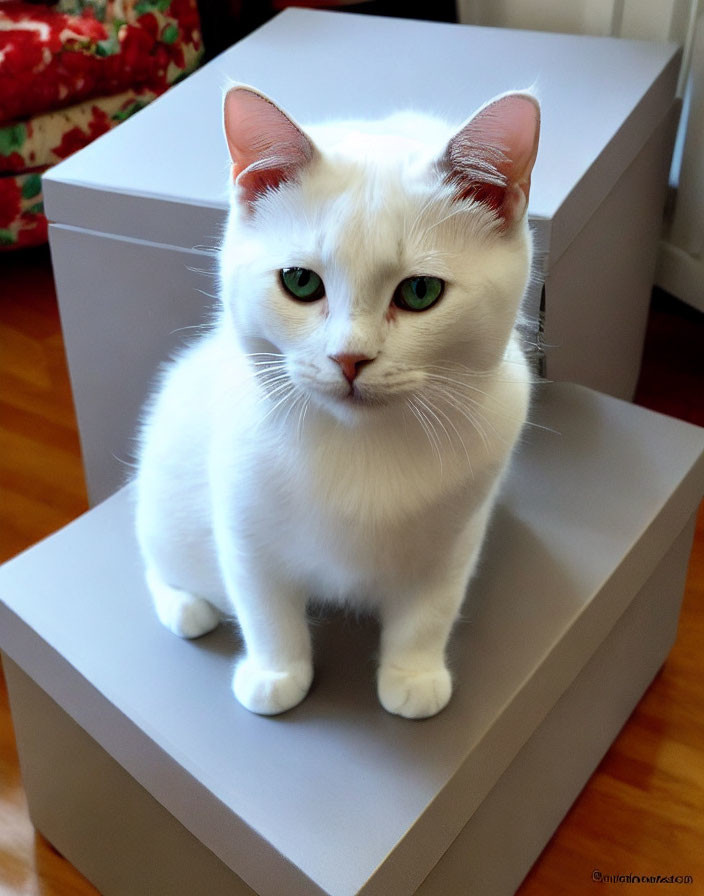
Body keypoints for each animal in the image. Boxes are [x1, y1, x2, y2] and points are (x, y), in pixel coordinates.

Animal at [136, 84, 540, 720]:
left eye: (420, 291)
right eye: (300, 282)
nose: (350, 359)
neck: (361, 445)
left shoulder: (454, 539)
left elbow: (429, 612)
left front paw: (413, 675)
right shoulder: (244, 529)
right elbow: (265, 608)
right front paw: (277, 674)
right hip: (164, 499)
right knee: (156, 556)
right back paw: (186, 606)